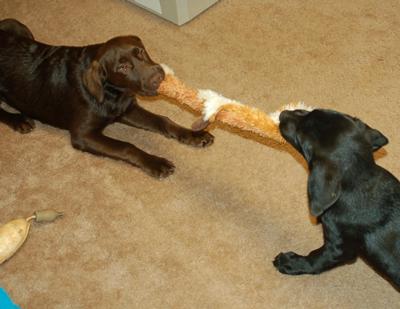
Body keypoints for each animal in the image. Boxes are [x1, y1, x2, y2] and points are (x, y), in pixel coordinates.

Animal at [0, 19, 214, 177]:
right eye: (122, 67)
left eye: (141, 52)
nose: (158, 78)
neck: (113, 93)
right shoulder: (83, 135)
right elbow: (127, 147)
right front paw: (156, 163)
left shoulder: (126, 109)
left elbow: (163, 120)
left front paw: (193, 135)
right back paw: (18, 120)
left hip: (18, 25)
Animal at [274, 109, 400, 292]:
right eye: (311, 111)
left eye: (301, 137)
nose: (283, 114)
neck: (359, 179)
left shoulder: (338, 248)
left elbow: (315, 259)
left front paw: (291, 263)